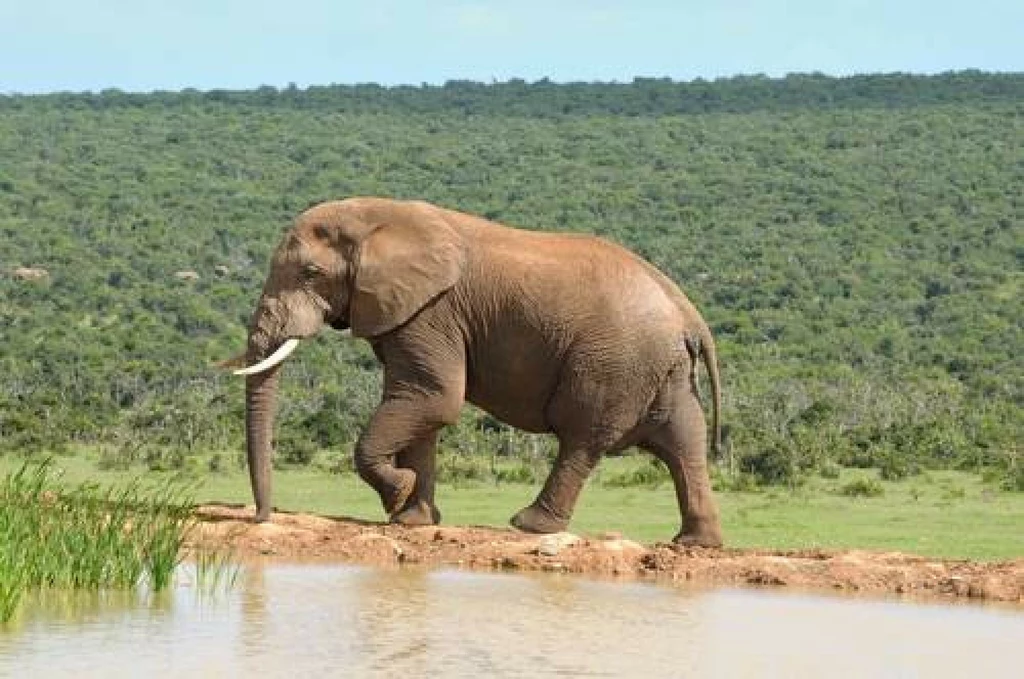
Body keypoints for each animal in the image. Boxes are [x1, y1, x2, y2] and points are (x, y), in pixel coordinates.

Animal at [230, 196, 729, 548]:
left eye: (310, 273)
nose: (261, 517)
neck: (376, 216)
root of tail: (688, 314)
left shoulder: (432, 312)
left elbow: (433, 399)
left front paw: (398, 496)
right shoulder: (408, 316)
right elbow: (422, 407)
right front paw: (412, 520)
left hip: (614, 362)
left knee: (582, 437)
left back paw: (529, 525)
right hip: (661, 368)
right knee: (683, 441)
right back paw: (694, 543)